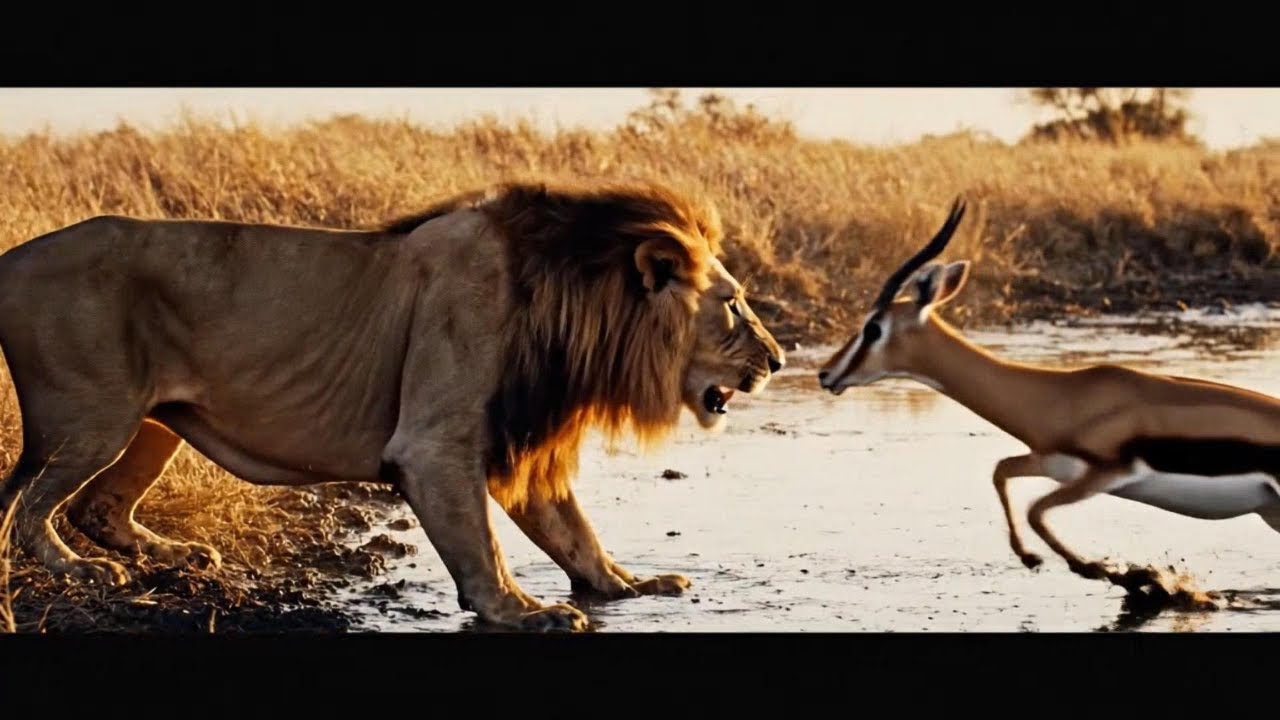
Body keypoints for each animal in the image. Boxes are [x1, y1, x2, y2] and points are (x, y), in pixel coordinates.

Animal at [0, 178, 786, 631]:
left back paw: (180, 556)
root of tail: (13, 257)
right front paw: (523, 611)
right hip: (92, 418)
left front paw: (630, 584)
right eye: (734, 305)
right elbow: (483, 544)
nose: (779, 360)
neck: (570, 305)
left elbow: (574, 532)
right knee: (21, 505)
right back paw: (81, 572)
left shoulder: (523, 439)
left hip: (152, 421)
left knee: (94, 506)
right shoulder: (436, 442)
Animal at [817, 197, 1280, 581]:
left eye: (873, 328)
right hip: (1271, 513)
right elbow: (1001, 471)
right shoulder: (1052, 463)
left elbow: (1035, 510)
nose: (825, 374)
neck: (1062, 396)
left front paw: (1100, 569)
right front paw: (1032, 558)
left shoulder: (1106, 474)